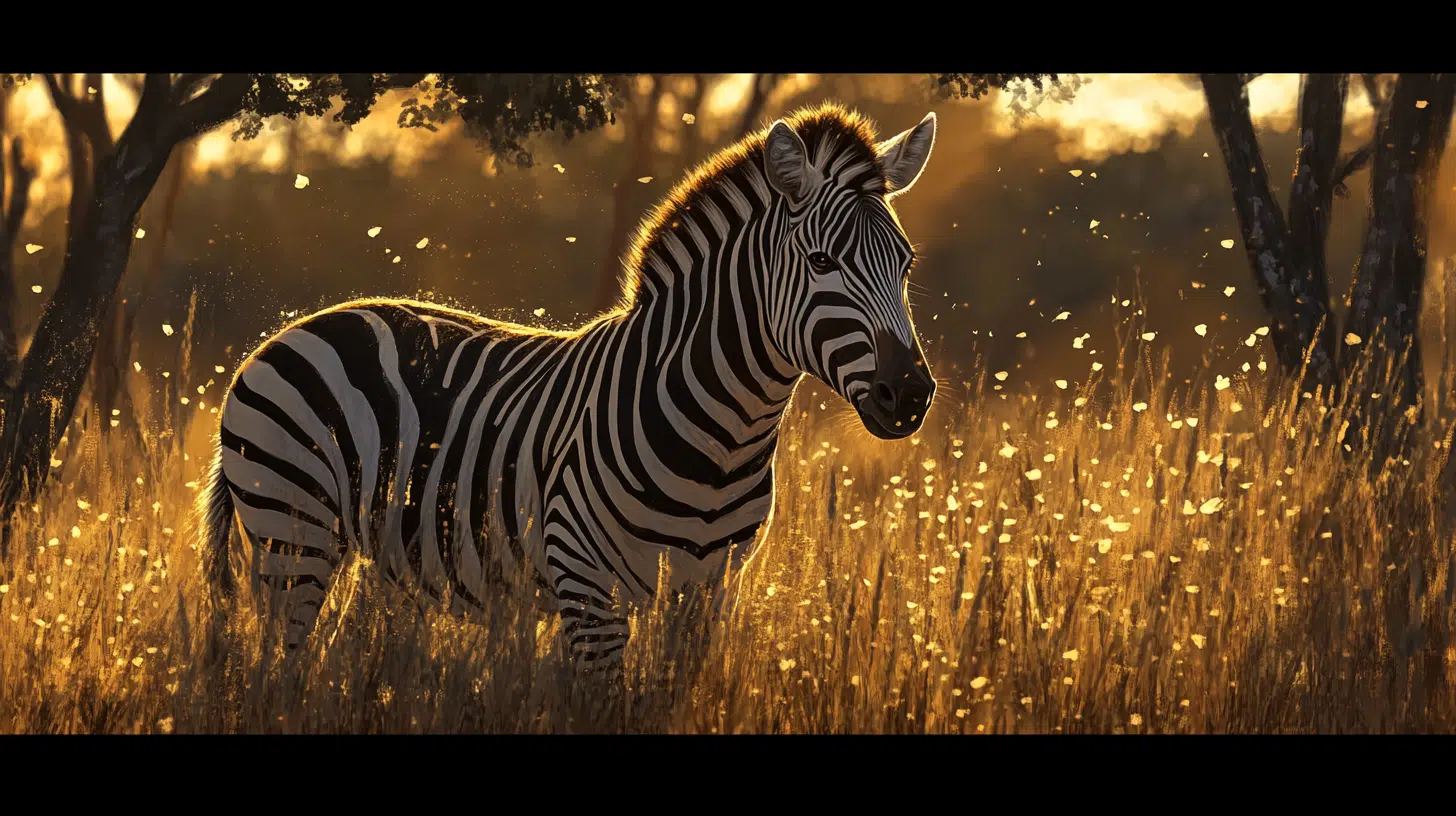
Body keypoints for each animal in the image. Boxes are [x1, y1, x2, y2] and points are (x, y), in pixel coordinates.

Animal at [198, 102, 940, 673]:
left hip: (370, 548)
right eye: (821, 262)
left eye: (906, 265)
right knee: (283, 672)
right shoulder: (589, 593)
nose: (908, 394)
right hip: (291, 531)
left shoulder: (707, 596)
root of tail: (296, 330)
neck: (724, 442)